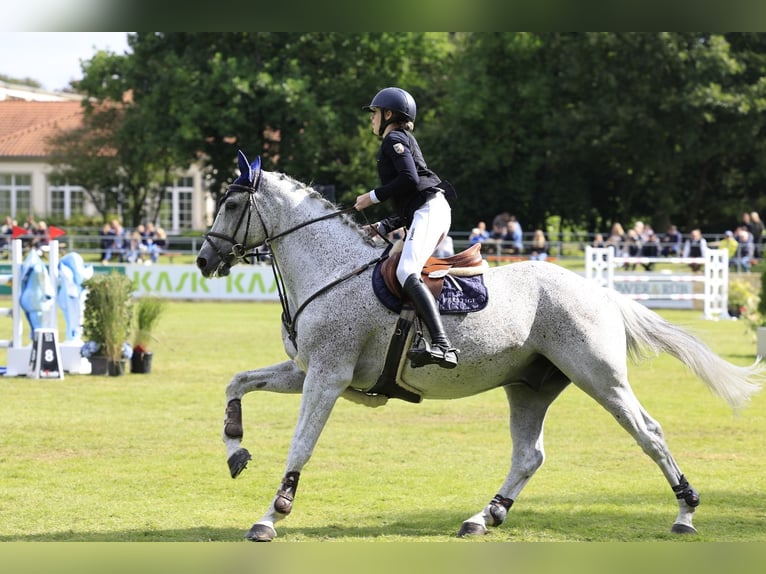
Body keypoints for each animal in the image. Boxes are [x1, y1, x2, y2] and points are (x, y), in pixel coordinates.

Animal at [196, 151, 760, 544]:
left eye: (230, 204)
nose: (203, 260)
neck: (331, 269)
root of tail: (598, 290)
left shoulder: (327, 377)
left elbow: (301, 445)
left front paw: (270, 517)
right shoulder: (306, 371)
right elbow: (236, 382)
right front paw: (236, 449)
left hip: (600, 376)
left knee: (649, 433)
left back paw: (685, 513)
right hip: (530, 386)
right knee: (530, 454)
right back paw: (484, 515)